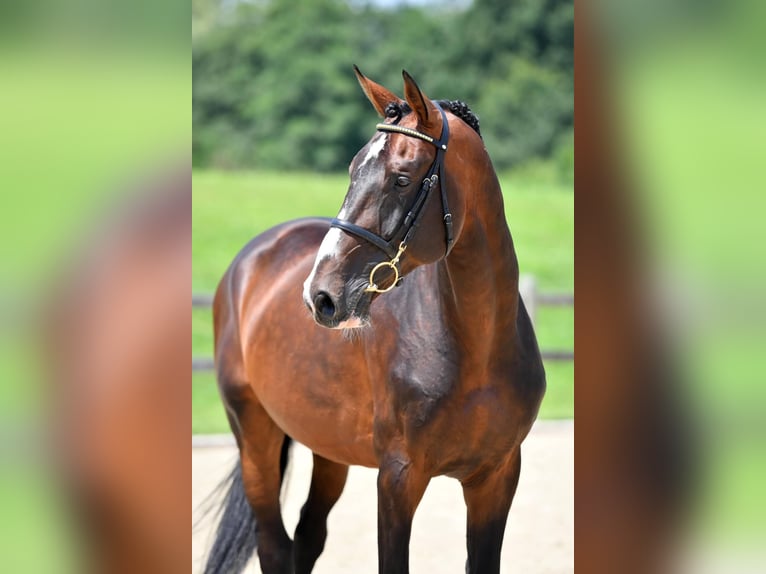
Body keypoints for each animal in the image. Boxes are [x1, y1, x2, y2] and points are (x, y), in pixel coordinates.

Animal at [206, 68, 544, 574]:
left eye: (402, 180)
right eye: (352, 171)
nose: (320, 296)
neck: (476, 348)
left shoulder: (497, 477)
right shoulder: (398, 477)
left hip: (328, 449)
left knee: (307, 536)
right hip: (253, 436)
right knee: (274, 544)